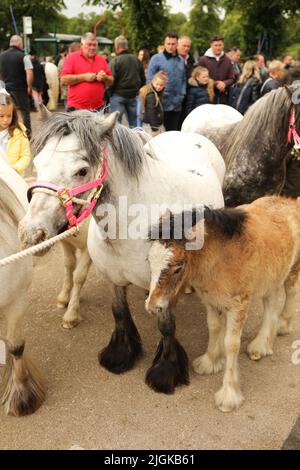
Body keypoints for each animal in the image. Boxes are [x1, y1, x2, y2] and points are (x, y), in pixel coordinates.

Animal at [19, 112, 225, 394]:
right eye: (38, 163)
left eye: (81, 171)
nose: (32, 233)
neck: (131, 224)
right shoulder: (114, 278)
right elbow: (119, 312)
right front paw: (120, 354)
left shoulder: (162, 281)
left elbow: (166, 326)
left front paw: (165, 372)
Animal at [146, 195, 300, 412]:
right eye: (149, 261)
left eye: (178, 268)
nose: (153, 307)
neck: (221, 260)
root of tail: (291, 202)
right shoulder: (211, 300)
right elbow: (213, 328)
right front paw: (209, 362)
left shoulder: (238, 306)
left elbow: (231, 344)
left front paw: (228, 395)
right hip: (270, 277)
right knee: (271, 302)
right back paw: (261, 346)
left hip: (292, 269)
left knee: (291, 291)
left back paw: (283, 326)